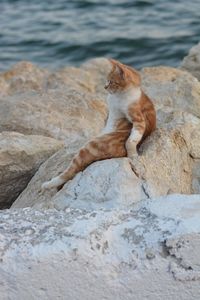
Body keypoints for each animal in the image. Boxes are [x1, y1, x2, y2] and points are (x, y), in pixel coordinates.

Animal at [41, 58, 156, 192]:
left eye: (111, 81)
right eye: (106, 80)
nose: (105, 87)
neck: (120, 95)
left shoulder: (137, 117)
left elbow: (132, 139)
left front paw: (132, 154)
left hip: (88, 147)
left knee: (70, 172)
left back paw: (48, 184)